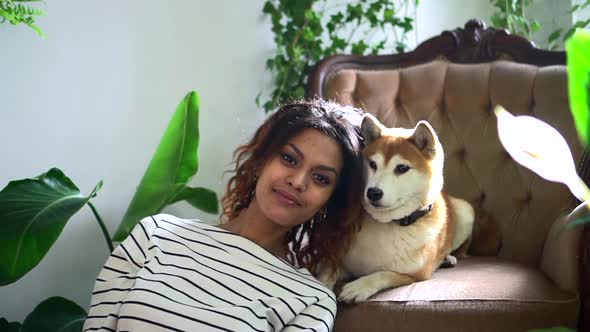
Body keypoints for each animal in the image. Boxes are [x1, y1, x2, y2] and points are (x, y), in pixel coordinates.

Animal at [322, 114, 478, 304]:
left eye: (402, 168)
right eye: (372, 164)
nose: (373, 192)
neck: (389, 223)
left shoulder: (416, 275)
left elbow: (382, 274)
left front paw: (360, 286)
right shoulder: (343, 262)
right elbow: (326, 271)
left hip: (466, 212)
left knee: (460, 249)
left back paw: (448, 258)